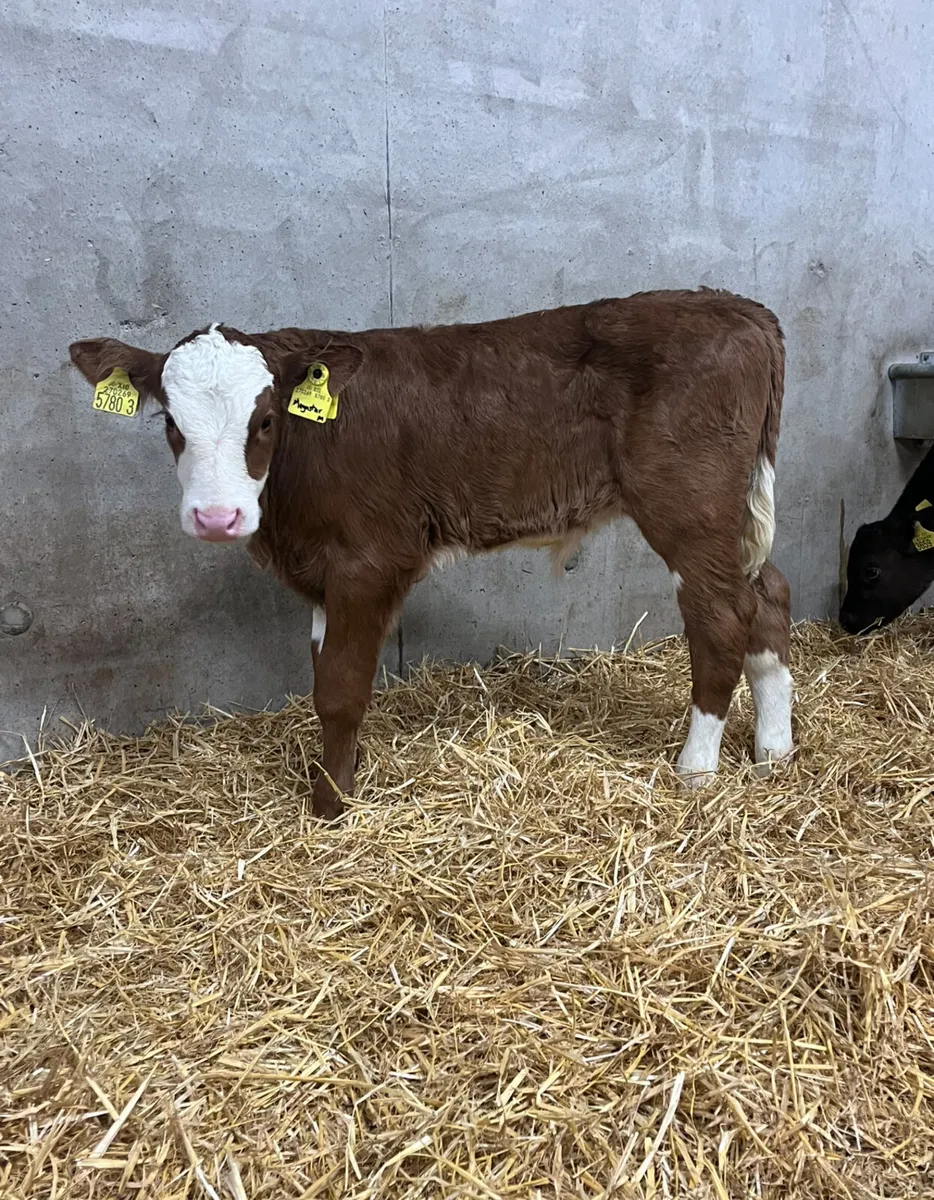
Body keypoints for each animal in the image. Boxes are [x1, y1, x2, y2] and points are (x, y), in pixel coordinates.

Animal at [70, 288, 795, 819]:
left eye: (266, 420)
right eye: (170, 422)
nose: (217, 517)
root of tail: (736, 306)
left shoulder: (368, 560)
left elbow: (339, 688)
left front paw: (331, 805)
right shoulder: (322, 577)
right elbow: (322, 674)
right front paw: (340, 771)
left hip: (689, 506)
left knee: (722, 617)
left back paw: (695, 770)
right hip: (733, 515)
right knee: (768, 597)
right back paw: (774, 752)